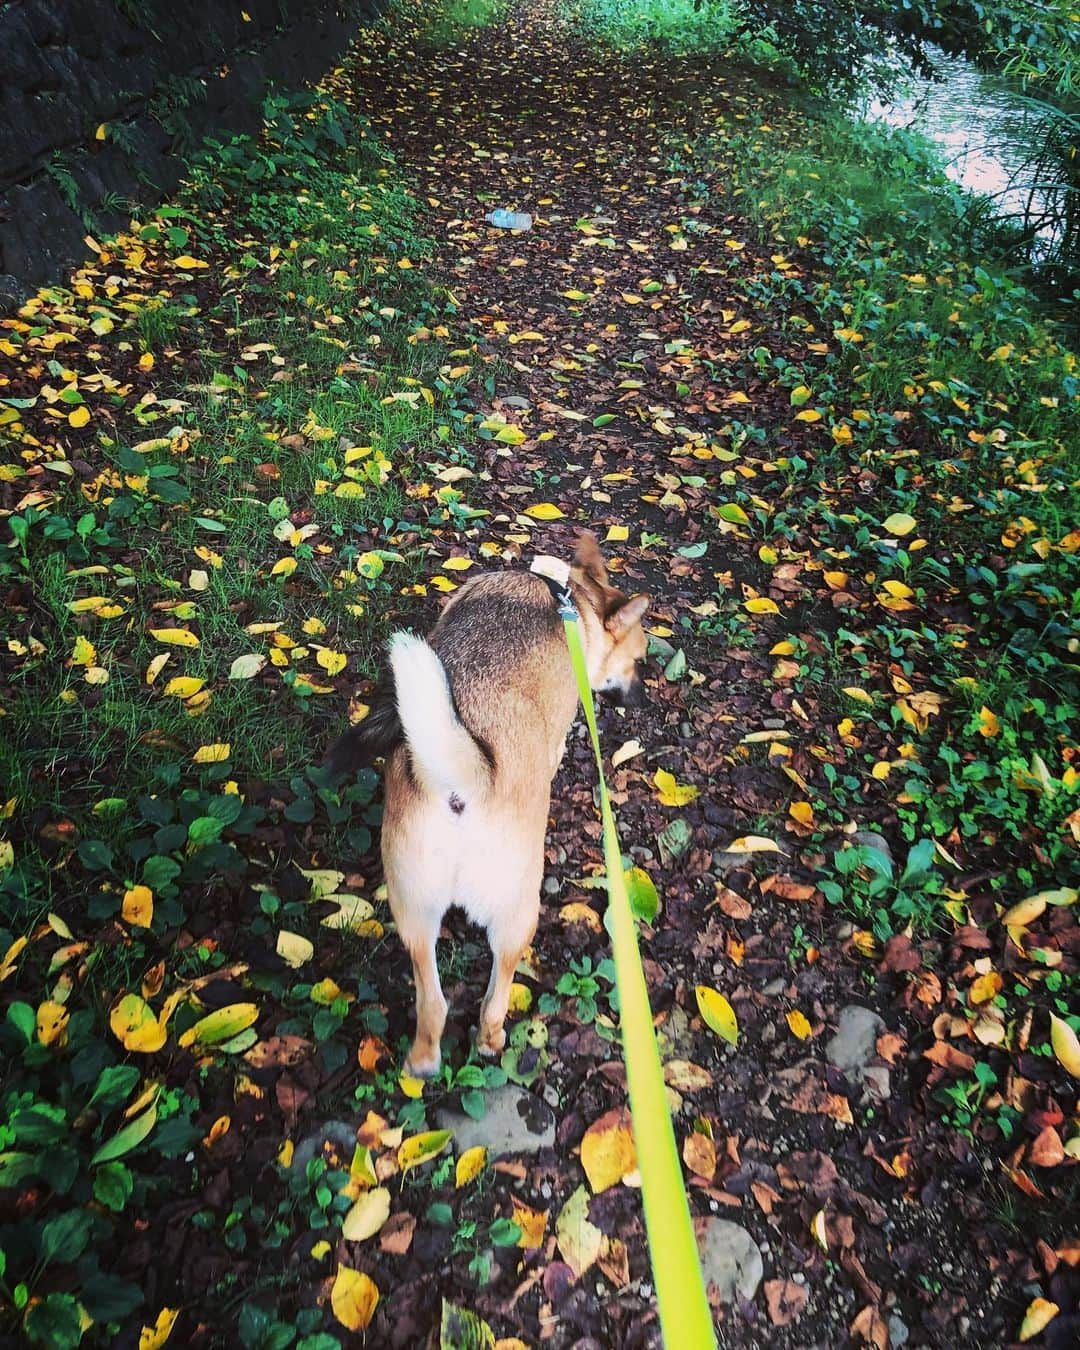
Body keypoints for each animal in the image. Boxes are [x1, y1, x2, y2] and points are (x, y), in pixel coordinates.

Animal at [329, 534, 645, 1074]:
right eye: (638, 658)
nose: (638, 696)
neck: (571, 596)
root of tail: (465, 784)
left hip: (413, 911)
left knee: (432, 1003)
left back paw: (423, 1062)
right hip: (518, 916)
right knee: (495, 995)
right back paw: (492, 1039)